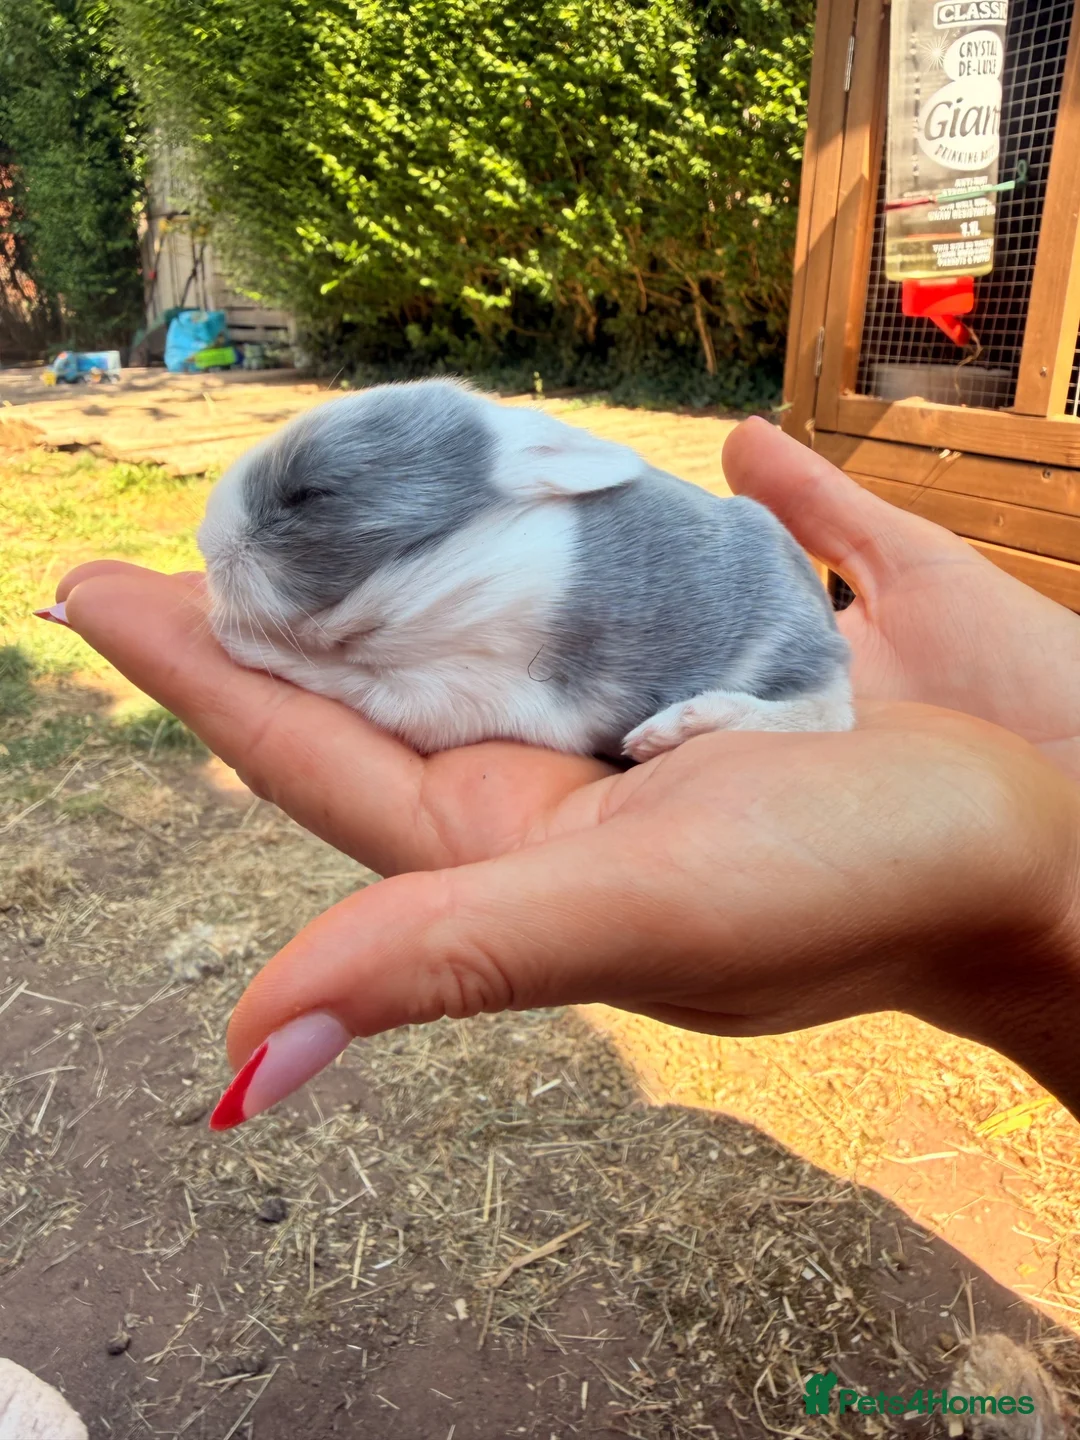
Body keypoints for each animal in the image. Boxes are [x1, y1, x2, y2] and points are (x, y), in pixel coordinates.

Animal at [197, 378, 853, 762]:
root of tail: (833, 641)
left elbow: (345, 679)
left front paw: (237, 641)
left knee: (824, 716)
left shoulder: (450, 691)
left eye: (309, 494)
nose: (206, 544)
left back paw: (669, 731)